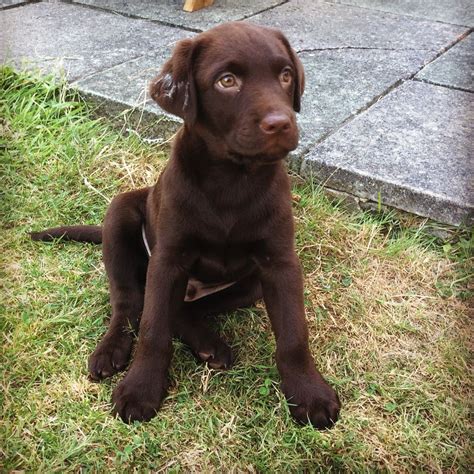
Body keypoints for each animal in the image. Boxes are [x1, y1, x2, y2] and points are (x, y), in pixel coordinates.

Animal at [32, 22, 340, 430]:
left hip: (249, 285)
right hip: (120, 215)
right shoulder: (168, 259)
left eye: (286, 75)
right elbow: (153, 329)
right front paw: (141, 388)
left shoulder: (280, 264)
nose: (281, 123)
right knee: (130, 303)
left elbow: (294, 334)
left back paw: (209, 344)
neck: (232, 178)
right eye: (227, 81)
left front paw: (309, 392)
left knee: (182, 309)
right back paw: (112, 350)